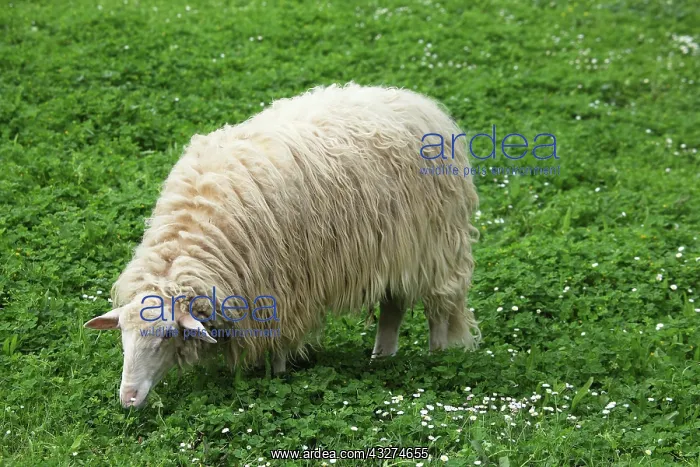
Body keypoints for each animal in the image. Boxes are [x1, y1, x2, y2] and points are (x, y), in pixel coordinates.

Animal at [84, 83, 481, 408]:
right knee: (394, 303)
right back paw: (381, 357)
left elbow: (278, 338)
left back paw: (436, 353)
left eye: (166, 335)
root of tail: (418, 101)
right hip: (394, 248)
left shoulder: (282, 287)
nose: (128, 398)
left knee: (439, 305)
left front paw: (277, 374)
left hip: (436, 244)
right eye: (123, 337)